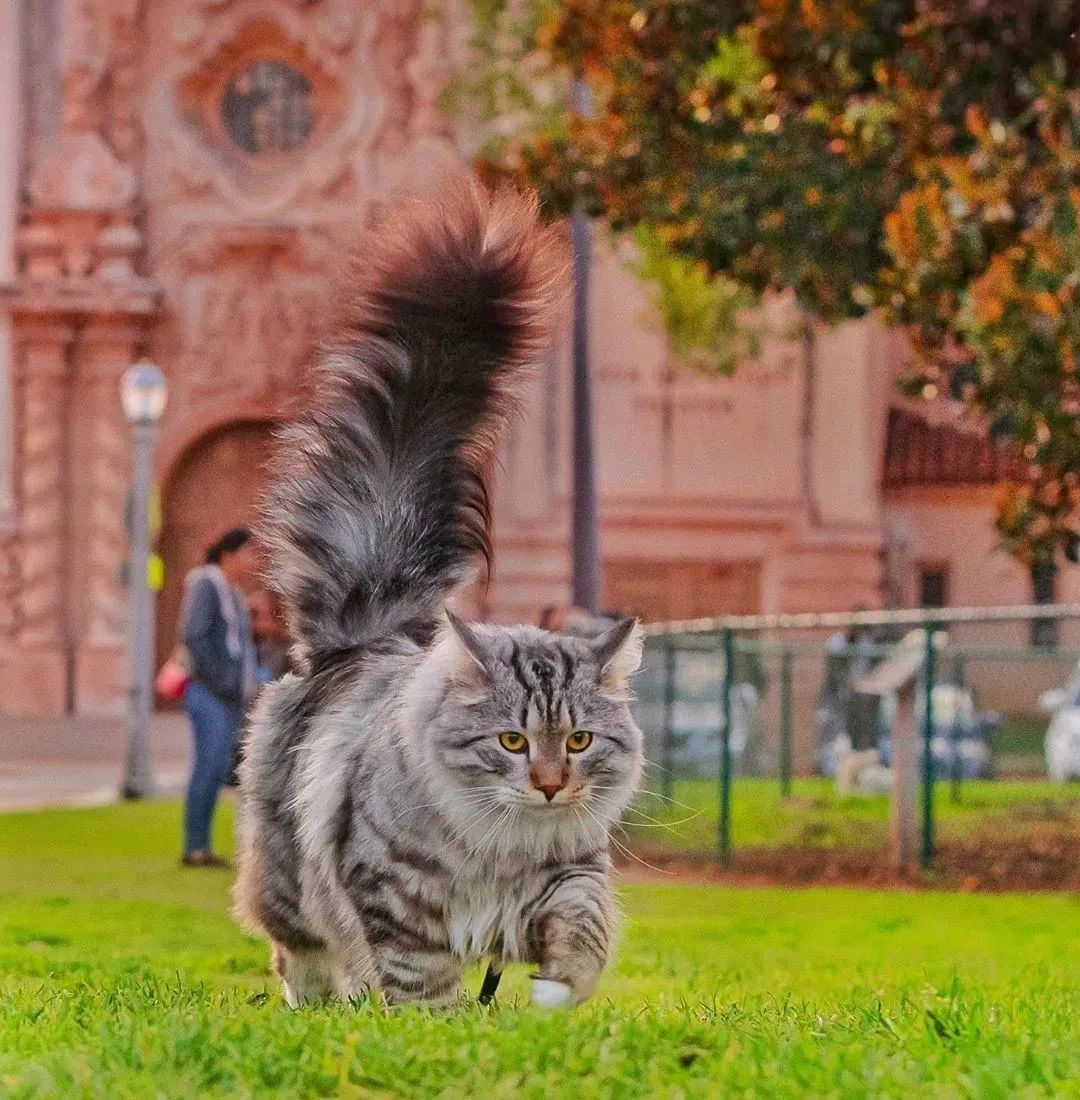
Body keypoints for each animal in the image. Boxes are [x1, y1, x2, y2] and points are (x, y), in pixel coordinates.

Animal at [234, 182, 642, 1012]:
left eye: (579, 741)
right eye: (511, 742)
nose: (549, 786)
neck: (500, 848)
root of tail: (369, 629)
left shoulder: (569, 871)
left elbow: (584, 924)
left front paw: (559, 990)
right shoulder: (392, 894)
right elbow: (421, 982)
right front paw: (439, 1029)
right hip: (290, 882)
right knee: (298, 950)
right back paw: (318, 1005)